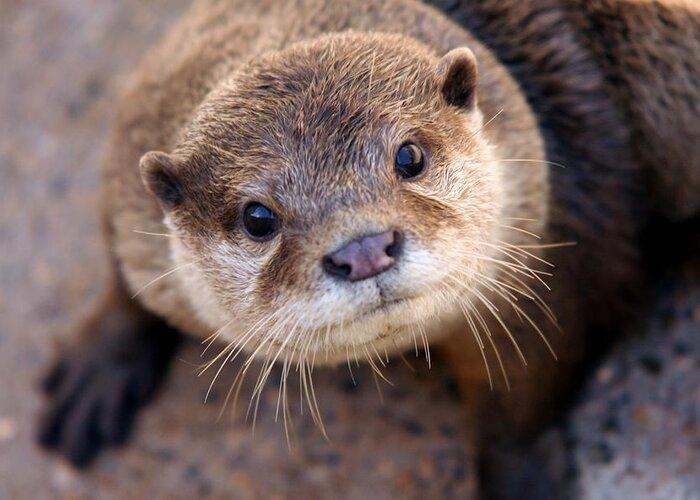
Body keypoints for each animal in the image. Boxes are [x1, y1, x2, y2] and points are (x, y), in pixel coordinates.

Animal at [37, 0, 698, 475]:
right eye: (258, 218)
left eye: (409, 156)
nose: (362, 250)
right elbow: (125, 267)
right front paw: (98, 365)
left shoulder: (568, 251)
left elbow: (525, 396)